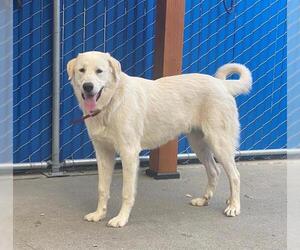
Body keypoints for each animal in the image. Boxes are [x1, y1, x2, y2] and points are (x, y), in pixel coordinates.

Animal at [67, 51, 251, 228]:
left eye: (99, 71)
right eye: (82, 70)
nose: (88, 86)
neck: (111, 102)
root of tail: (222, 85)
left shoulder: (129, 153)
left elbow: (126, 192)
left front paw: (121, 219)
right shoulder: (103, 153)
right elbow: (102, 189)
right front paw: (99, 214)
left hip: (219, 143)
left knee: (235, 175)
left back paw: (234, 206)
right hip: (198, 144)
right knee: (214, 171)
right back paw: (204, 199)